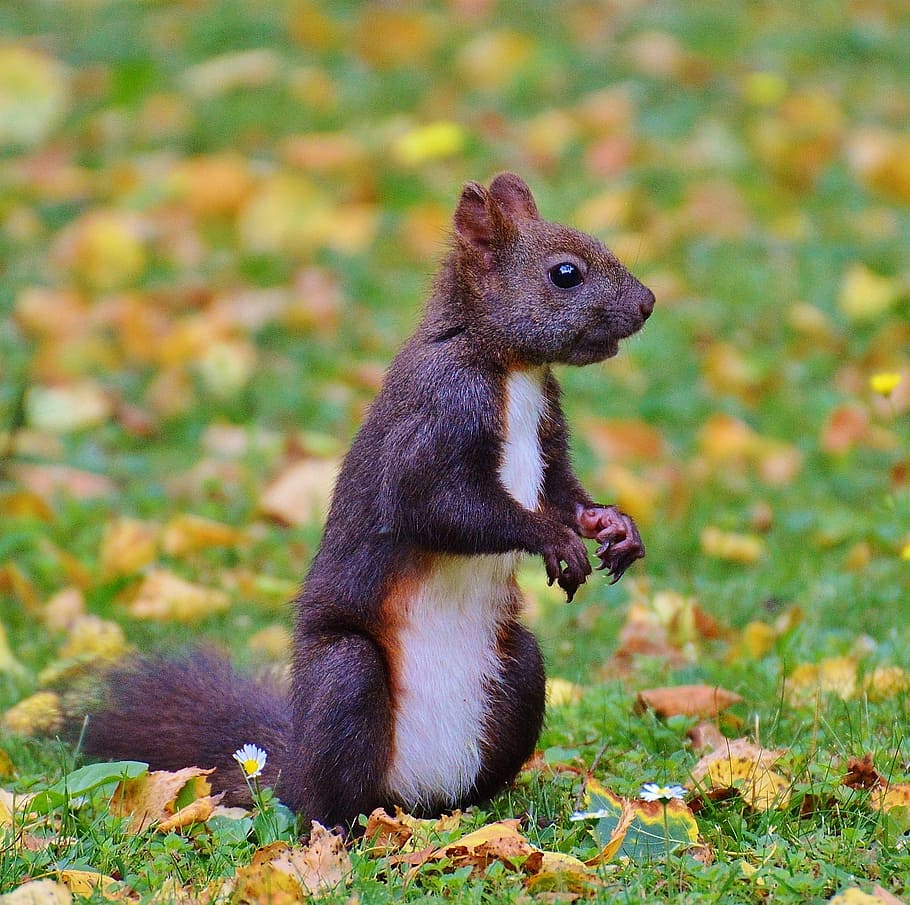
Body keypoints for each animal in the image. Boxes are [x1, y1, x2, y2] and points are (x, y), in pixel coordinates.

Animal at [79, 173, 654, 827]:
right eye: (565, 274)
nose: (647, 303)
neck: (511, 369)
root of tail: (412, 797)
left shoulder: (547, 434)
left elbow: (561, 492)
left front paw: (612, 525)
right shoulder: (438, 412)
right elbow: (433, 506)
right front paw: (552, 539)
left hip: (522, 672)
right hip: (346, 681)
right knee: (331, 796)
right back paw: (346, 831)